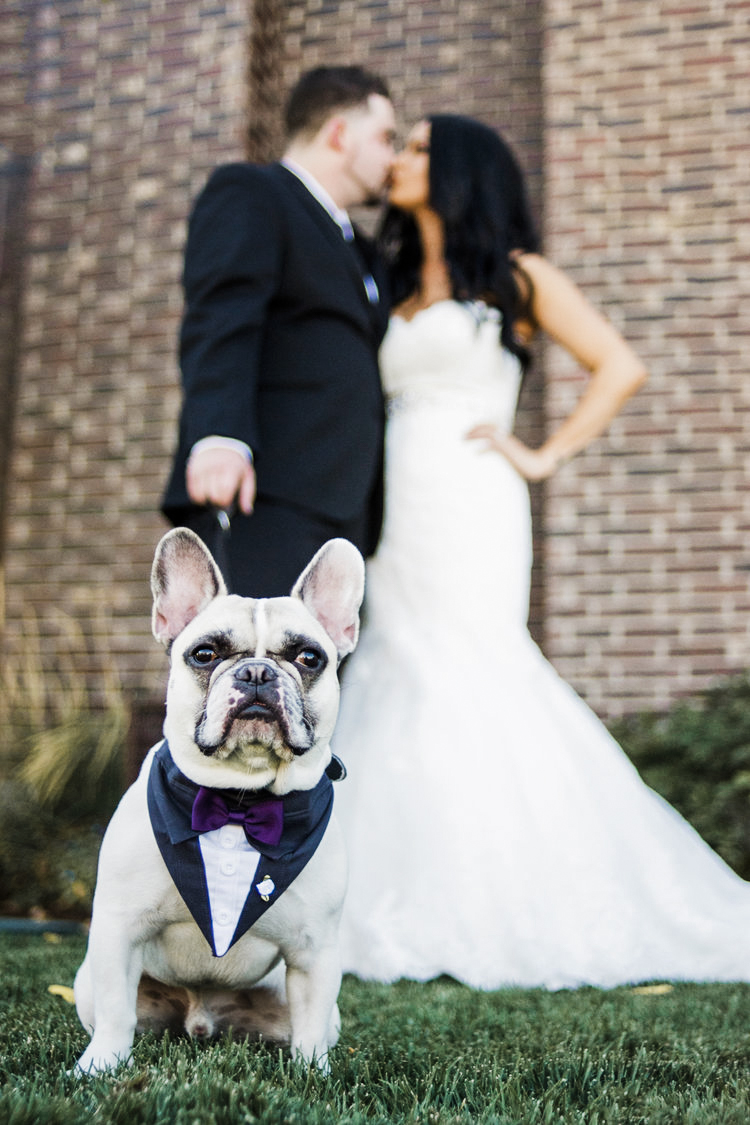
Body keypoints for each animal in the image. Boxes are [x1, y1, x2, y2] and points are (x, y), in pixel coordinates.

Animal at [73, 526, 364, 1071]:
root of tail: (199, 1015)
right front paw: (100, 1066)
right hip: (85, 985)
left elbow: (312, 1025)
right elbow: (117, 1011)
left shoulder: (316, 950)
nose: (256, 673)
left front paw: (313, 1075)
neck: (238, 801)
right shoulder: (118, 930)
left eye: (308, 658)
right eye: (205, 654)